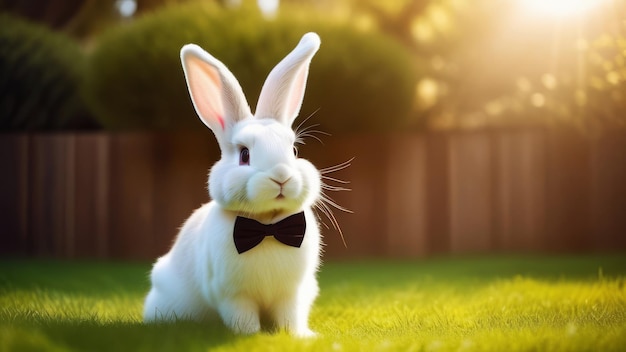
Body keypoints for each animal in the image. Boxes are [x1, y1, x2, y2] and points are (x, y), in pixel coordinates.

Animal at [143, 33, 322, 338]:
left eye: (294, 151)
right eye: (244, 155)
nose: (281, 175)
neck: (268, 225)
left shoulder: (292, 294)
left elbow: (290, 316)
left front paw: (299, 336)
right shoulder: (233, 296)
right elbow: (242, 317)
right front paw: (248, 336)